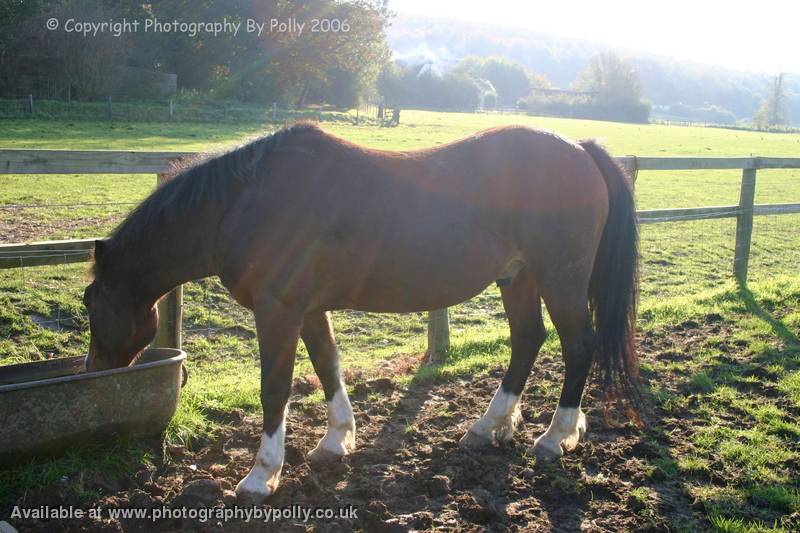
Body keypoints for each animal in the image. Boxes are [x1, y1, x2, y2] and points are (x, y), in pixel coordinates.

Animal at [84, 122, 636, 500]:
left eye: (90, 303)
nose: (94, 373)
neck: (245, 201)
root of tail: (580, 150)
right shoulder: (308, 310)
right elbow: (328, 366)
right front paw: (336, 442)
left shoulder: (278, 311)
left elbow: (274, 390)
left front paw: (262, 475)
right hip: (518, 278)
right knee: (527, 340)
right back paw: (489, 425)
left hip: (560, 279)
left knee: (578, 345)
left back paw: (557, 436)